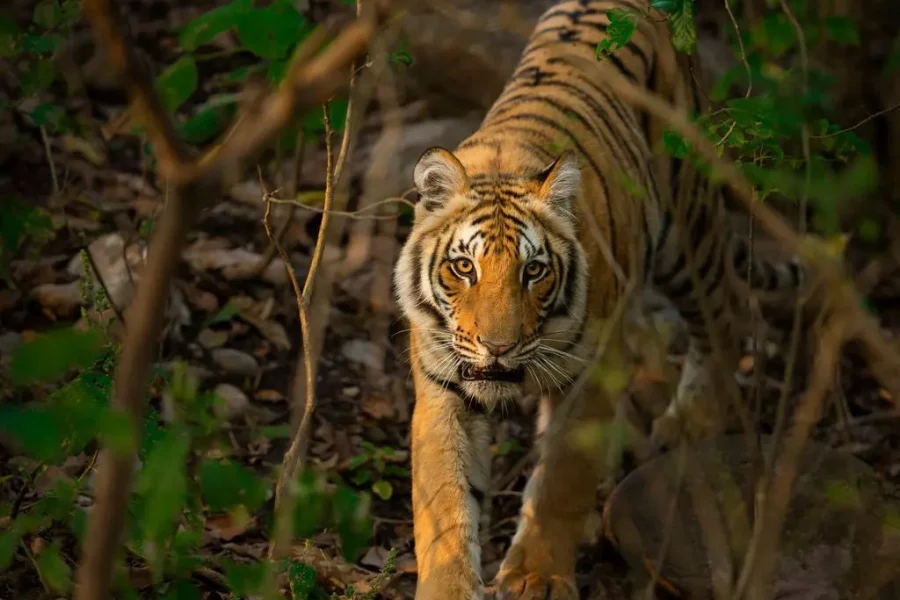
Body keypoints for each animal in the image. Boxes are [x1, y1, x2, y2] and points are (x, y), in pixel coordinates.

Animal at [390, 2, 804, 596]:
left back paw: (690, 422)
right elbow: (445, 501)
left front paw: (537, 576)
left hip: (687, 228)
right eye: (464, 267)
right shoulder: (443, 385)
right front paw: (449, 585)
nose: (497, 347)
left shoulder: (594, 372)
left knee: (724, 311)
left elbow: (564, 477)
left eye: (534, 271)